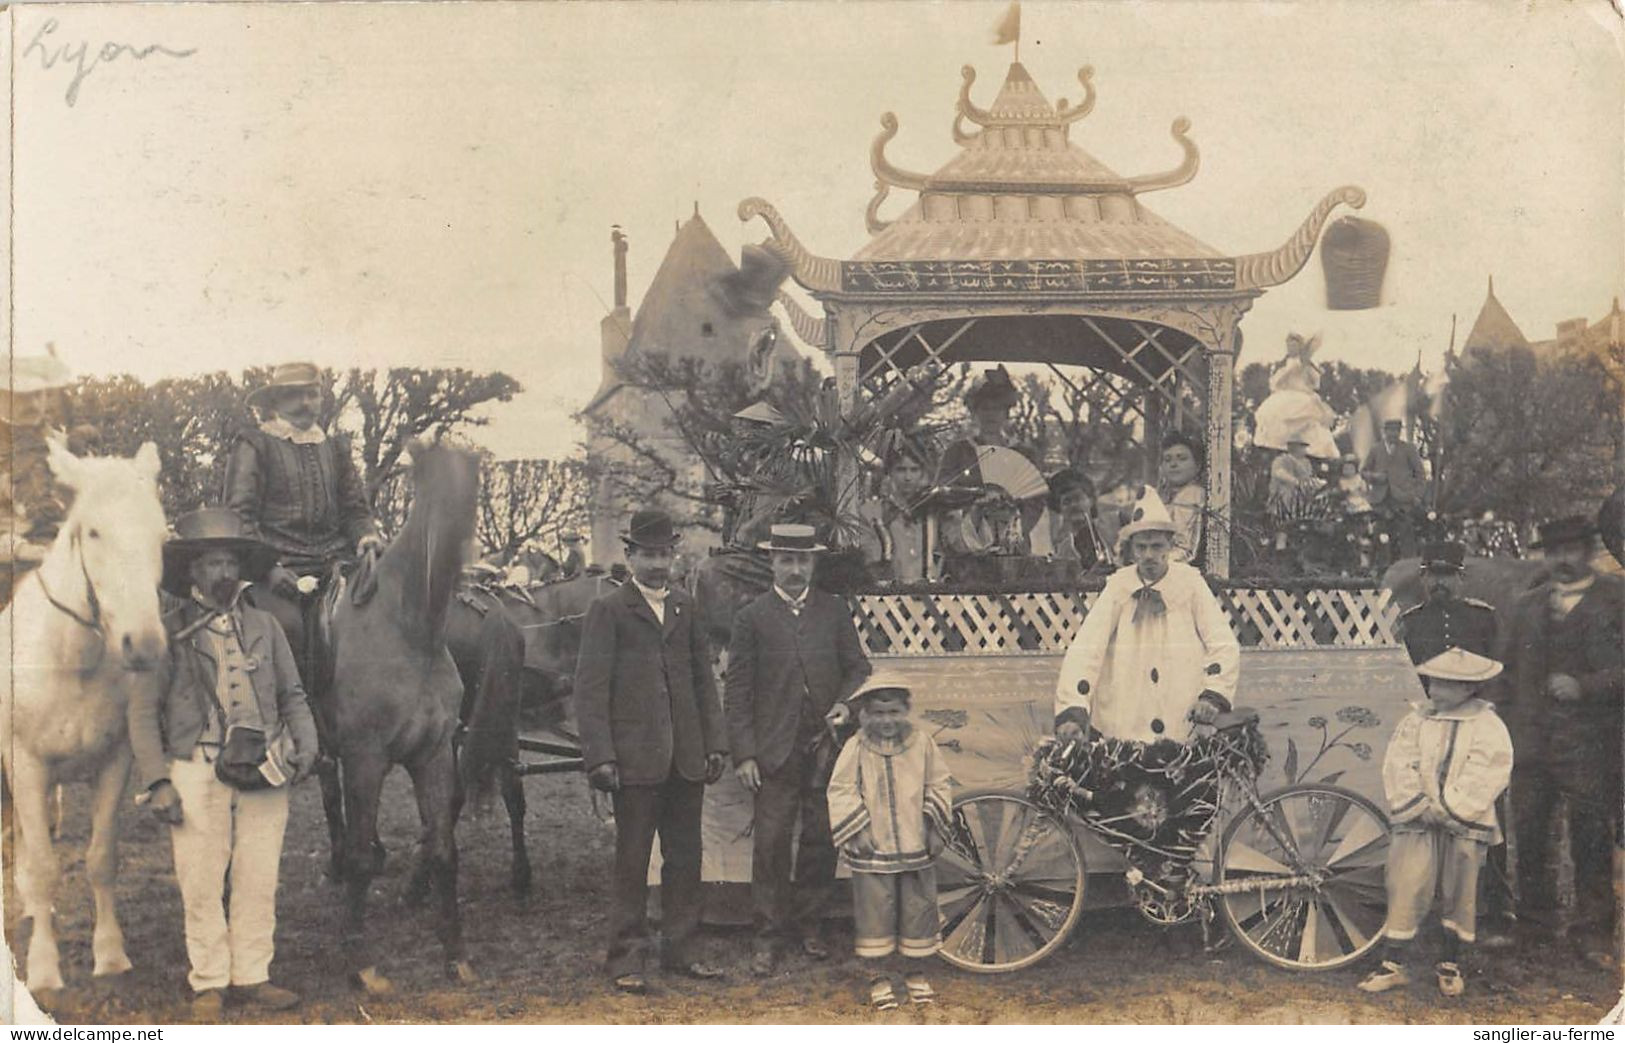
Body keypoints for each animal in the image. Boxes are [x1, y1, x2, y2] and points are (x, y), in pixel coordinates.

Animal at [0, 435, 167, 994]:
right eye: (93, 531)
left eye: (160, 531)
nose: (145, 646)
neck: (71, 661)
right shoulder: (27, 767)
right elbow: (45, 866)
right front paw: (44, 967)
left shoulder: (116, 763)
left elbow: (100, 858)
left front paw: (111, 954)